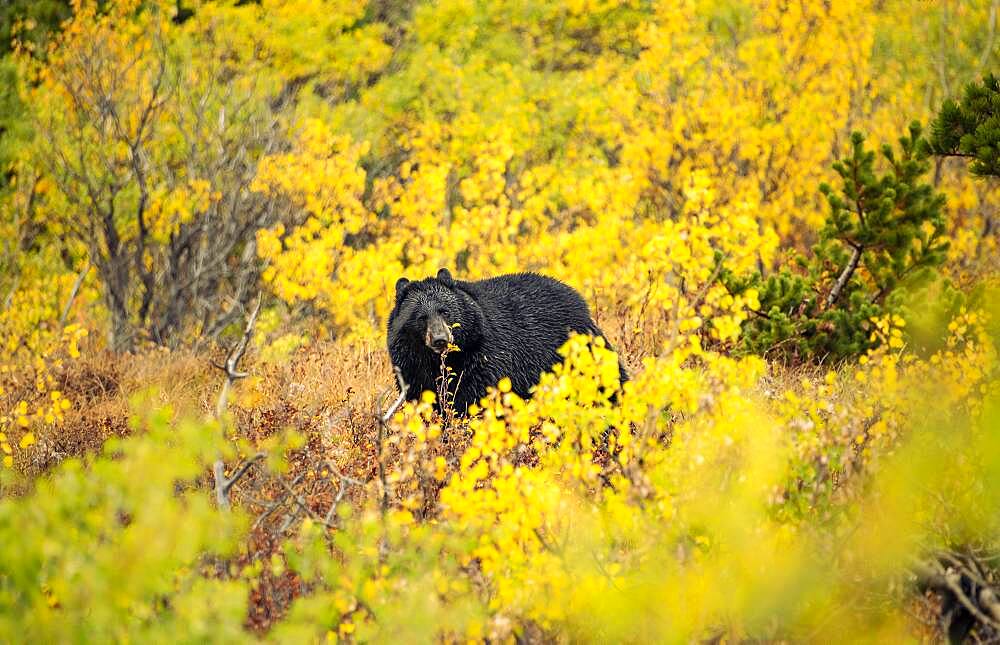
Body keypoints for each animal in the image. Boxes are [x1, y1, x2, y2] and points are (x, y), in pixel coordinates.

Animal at [384, 266, 624, 412]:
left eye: (445, 311)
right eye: (421, 317)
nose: (440, 340)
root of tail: (580, 301)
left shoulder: (485, 358)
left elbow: (475, 399)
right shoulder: (412, 367)